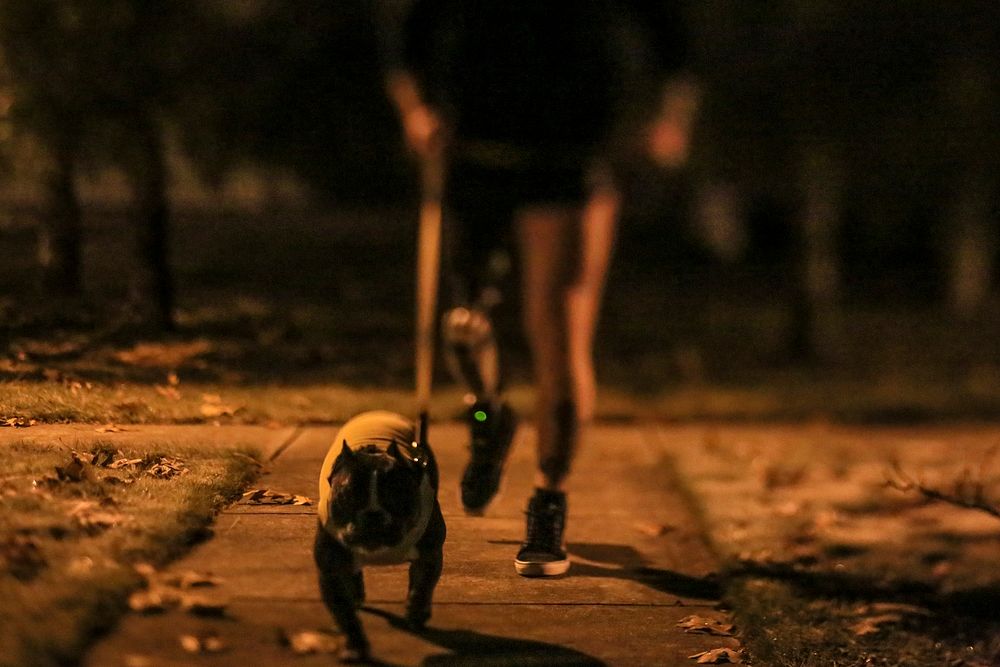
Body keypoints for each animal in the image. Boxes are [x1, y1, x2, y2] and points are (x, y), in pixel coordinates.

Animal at [312, 412, 446, 664]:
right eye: (347, 497)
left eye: (399, 498)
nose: (373, 516)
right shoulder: (331, 570)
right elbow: (345, 614)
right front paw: (355, 645)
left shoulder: (430, 554)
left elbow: (422, 585)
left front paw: (416, 611)